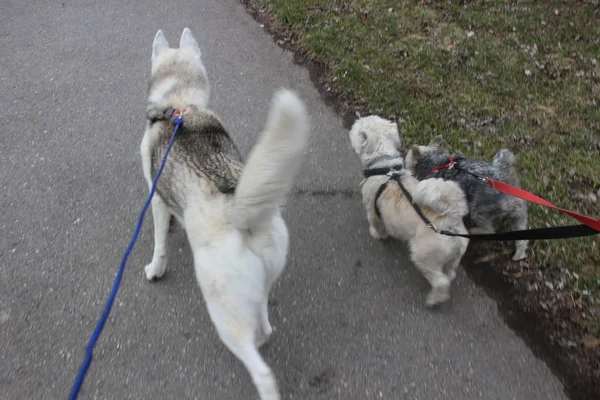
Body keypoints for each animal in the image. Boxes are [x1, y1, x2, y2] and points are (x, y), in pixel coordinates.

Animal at [141, 28, 310, 400]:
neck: (180, 101)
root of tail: (242, 213)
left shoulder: (156, 197)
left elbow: (159, 242)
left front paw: (156, 268)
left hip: (224, 311)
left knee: (261, 369)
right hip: (261, 285)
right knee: (264, 327)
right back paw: (263, 335)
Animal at [350, 115, 472, 306]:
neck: (384, 166)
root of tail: (450, 217)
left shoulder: (372, 209)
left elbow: (376, 224)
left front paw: (377, 234)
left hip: (424, 255)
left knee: (441, 281)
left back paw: (434, 299)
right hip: (456, 252)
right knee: (450, 272)